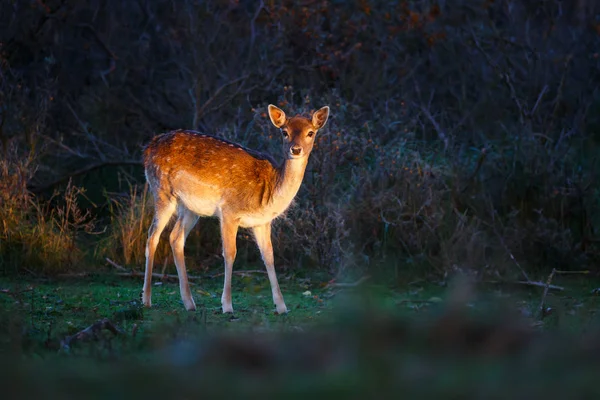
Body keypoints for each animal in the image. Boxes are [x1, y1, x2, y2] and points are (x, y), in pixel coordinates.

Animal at [142, 104, 328, 314]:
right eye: (284, 132)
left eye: (311, 132)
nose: (295, 149)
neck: (269, 192)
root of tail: (149, 147)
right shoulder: (229, 211)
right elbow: (230, 253)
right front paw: (227, 305)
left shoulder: (262, 221)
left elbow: (269, 256)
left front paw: (281, 306)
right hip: (162, 190)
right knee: (152, 236)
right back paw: (146, 299)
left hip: (190, 207)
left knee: (175, 237)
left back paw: (189, 302)